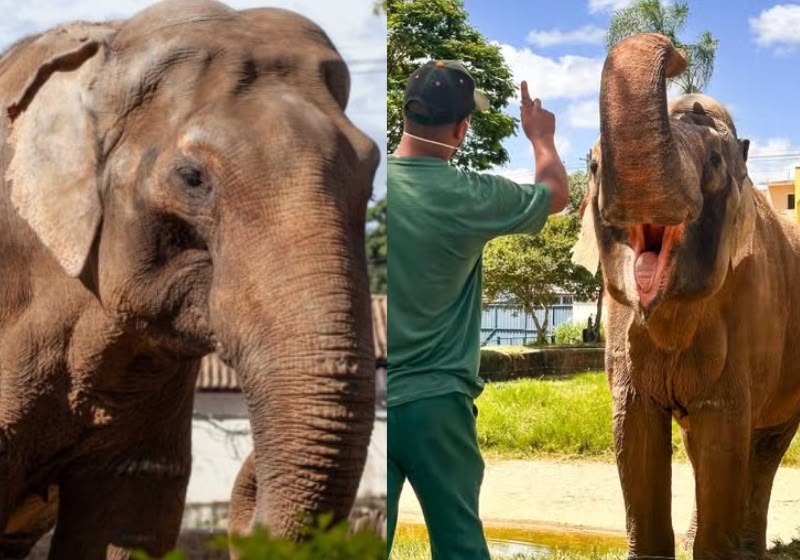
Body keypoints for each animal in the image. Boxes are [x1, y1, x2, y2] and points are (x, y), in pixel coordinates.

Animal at [572, 33, 800, 559]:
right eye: (593, 165)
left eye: (714, 163)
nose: (678, 54)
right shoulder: (622, 329)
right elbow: (633, 434)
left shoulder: (750, 308)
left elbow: (724, 431)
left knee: (763, 446)